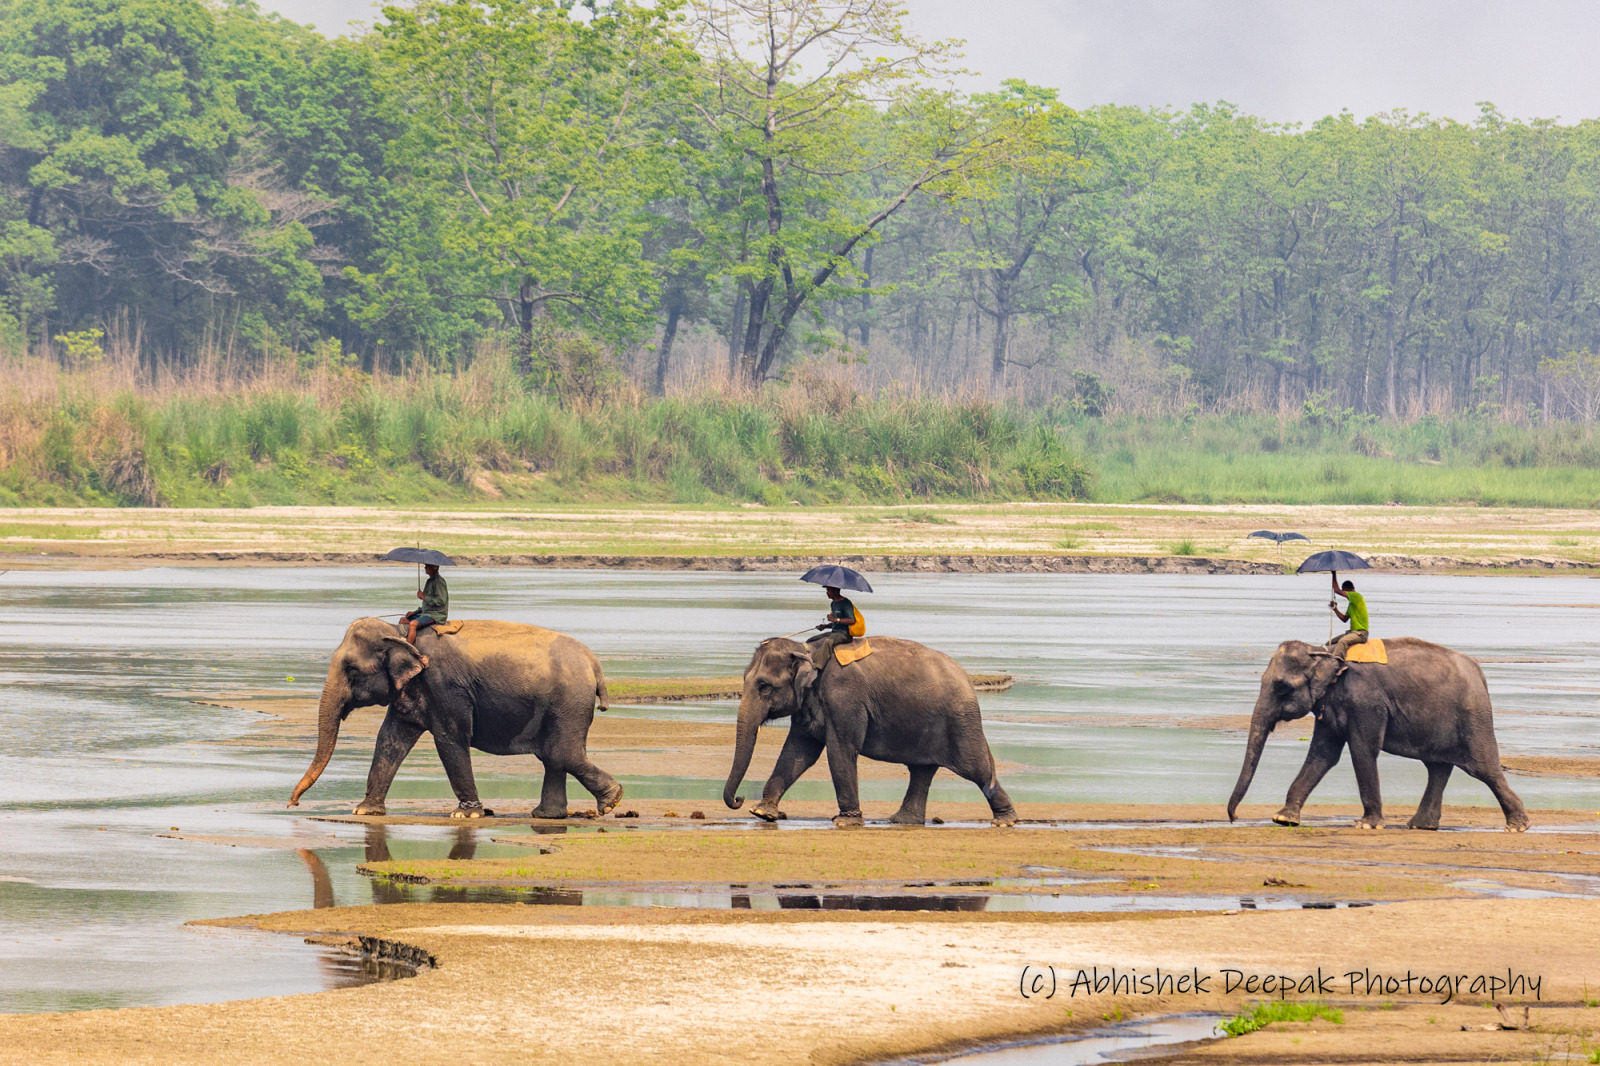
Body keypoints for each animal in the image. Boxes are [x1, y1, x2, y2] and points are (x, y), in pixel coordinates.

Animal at [284, 611, 620, 816]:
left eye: (352, 669)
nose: (292, 804)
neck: (401, 633)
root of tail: (595, 664)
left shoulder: (444, 685)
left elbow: (449, 738)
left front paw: (466, 814)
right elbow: (390, 739)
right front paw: (365, 810)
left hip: (569, 703)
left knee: (561, 753)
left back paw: (611, 802)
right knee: (553, 756)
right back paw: (548, 815)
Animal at [723, 633, 1011, 825]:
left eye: (764, 686)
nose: (740, 800)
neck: (808, 650)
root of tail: (967, 679)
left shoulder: (844, 697)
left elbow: (840, 749)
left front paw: (846, 821)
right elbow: (798, 751)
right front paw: (762, 812)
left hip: (961, 722)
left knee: (975, 768)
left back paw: (1005, 820)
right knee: (921, 770)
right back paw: (902, 821)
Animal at [1228, 630, 1529, 832]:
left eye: (1281, 687)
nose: (1234, 818)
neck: (1325, 652)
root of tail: (1479, 672)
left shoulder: (1365, 702)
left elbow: (1363, 749)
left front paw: (1367, 825)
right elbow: (1323, 755)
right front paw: (1283, 819)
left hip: (1473, 717)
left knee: (1483, 768)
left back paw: (1518, 826)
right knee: (1437, 768)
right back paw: (1420, 826)